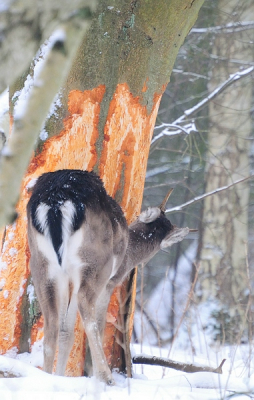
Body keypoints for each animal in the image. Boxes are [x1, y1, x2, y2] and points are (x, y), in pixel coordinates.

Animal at [26, 169, 190, 384]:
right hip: (95, 264)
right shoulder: (109, 282)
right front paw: (96, 375)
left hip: (42, 265)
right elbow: (99, 324)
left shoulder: (67, 280)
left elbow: (66, 332)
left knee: (51, 323)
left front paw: (60, 376)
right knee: (87, 310)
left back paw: (46, 376)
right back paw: (106, 376)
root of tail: (56, 202)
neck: (127, 256)